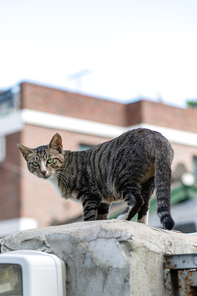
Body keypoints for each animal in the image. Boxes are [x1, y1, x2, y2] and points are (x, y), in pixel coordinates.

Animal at [16, 127, 175, 229]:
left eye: (50, 160)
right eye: (35, 164)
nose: (43, 172)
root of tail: (157, 137)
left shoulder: (90, 195)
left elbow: (89, 218)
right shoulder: (103, 201)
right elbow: (100, 217)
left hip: (122, 177)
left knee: (138, 201)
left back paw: (120, 219)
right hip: (149, 183)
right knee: (145, 205)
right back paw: (141, 225)